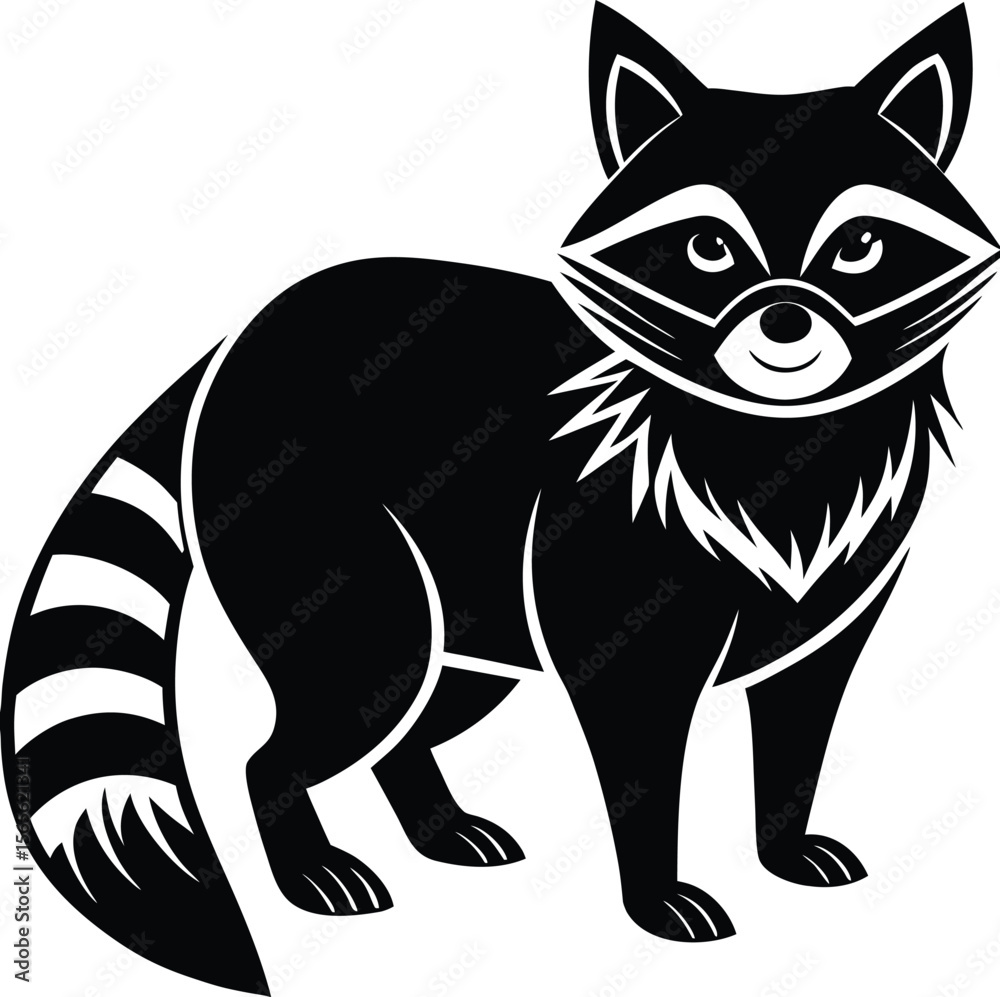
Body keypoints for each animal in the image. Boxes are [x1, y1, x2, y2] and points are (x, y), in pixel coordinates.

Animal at [2, 3, 997, 991]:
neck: (779, 438)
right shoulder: (614, 581)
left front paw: (782, 844)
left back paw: (432, 821)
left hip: (473, 606)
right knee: (320, 715)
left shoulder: (834, 607)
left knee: (419, 712)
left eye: (859, 246)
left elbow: (800, 726)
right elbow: (639, 750)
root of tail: (247, 329)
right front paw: (655, 891)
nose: (785, 319)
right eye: (708, 247)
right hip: (337, 555)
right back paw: (305, 862)